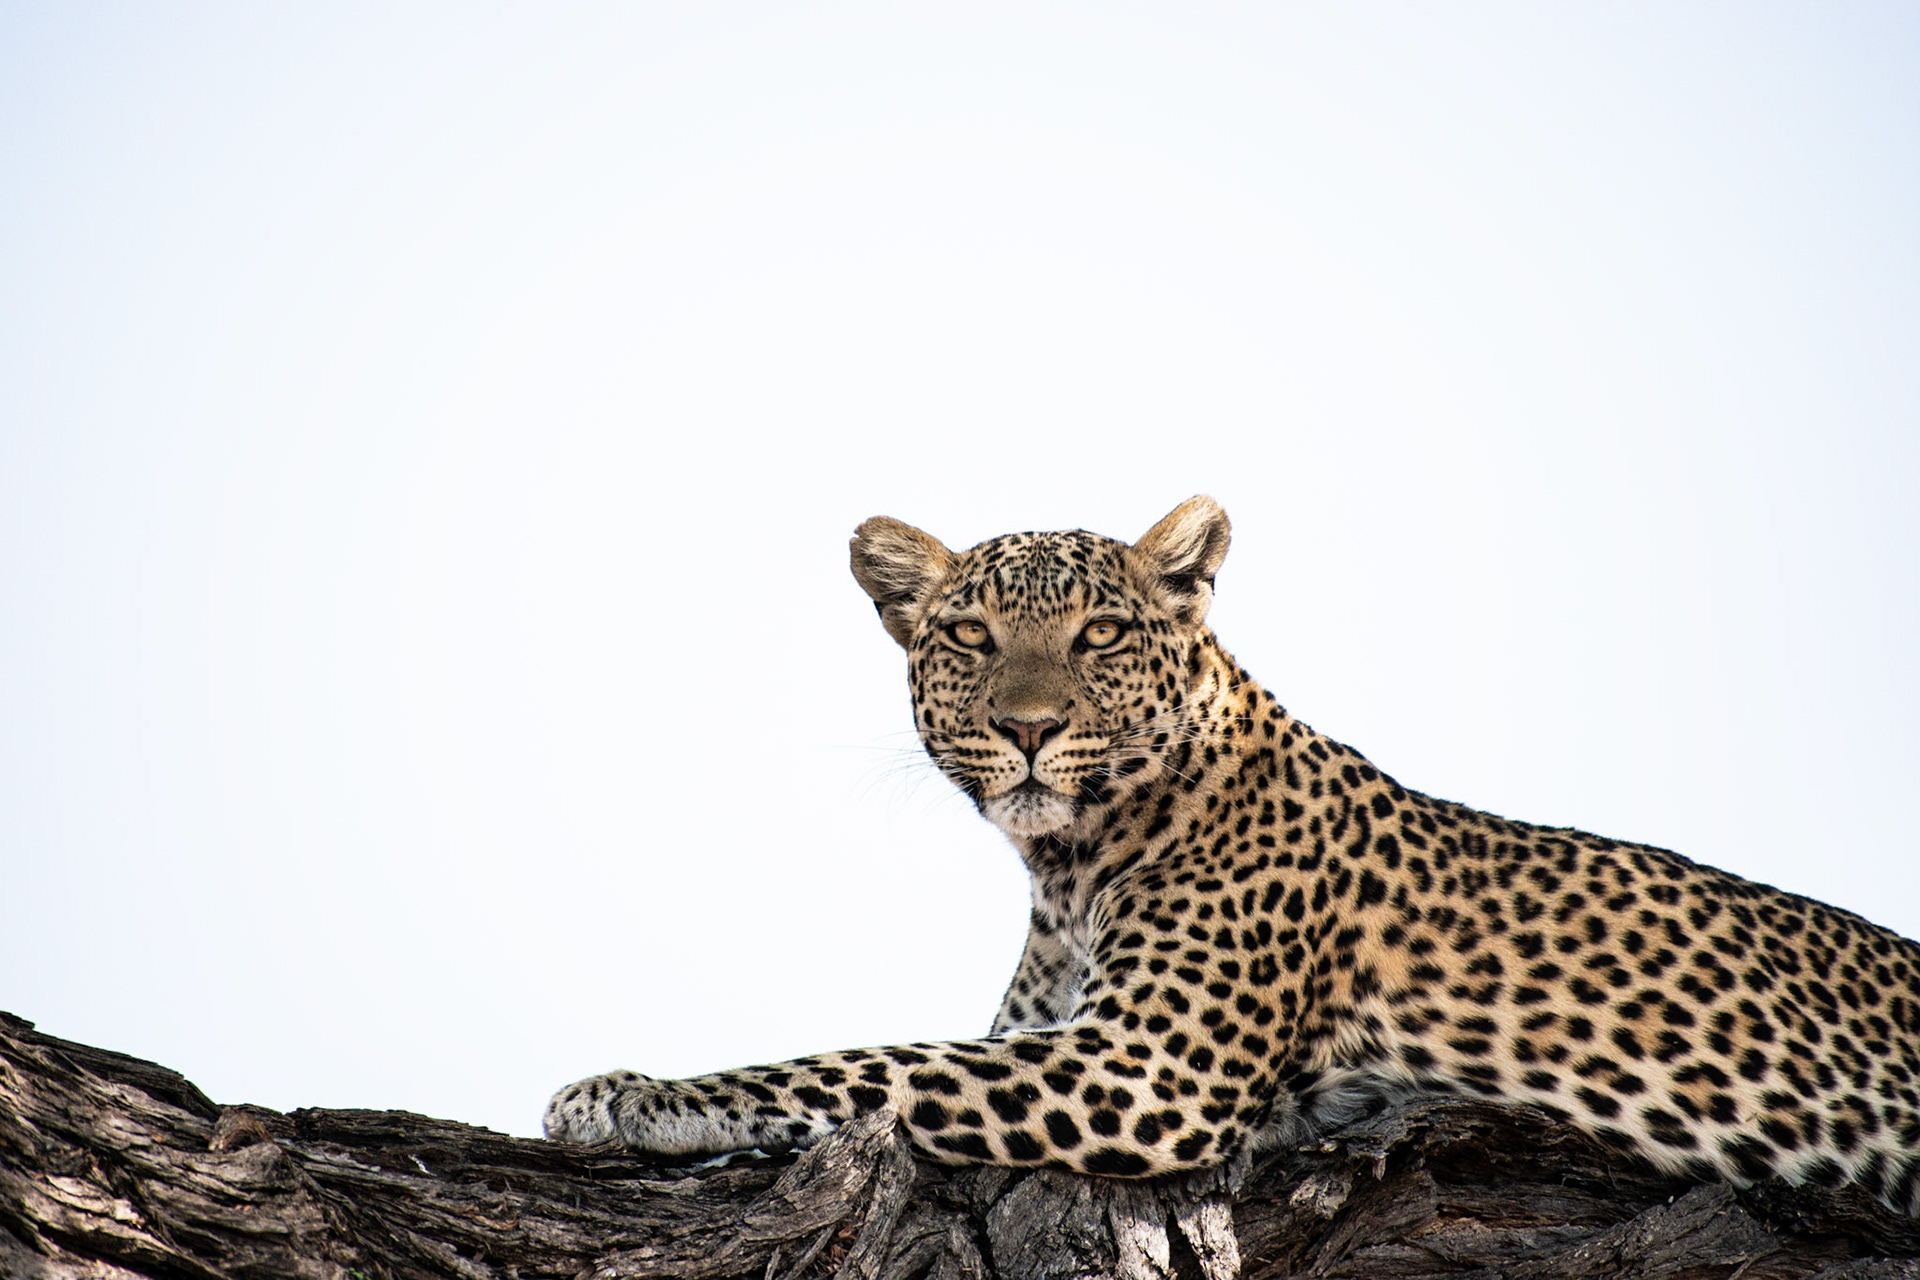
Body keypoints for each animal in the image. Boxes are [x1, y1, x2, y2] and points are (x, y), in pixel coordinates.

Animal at [545, 496, 1920, 1211]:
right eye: (971, 634)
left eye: (1100, 633)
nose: (1028, 728)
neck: (1070, 868)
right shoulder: (1067, 1041)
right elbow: (862, 1079)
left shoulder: (1147, 1069)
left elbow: (861, 1064)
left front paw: (632, 1092)